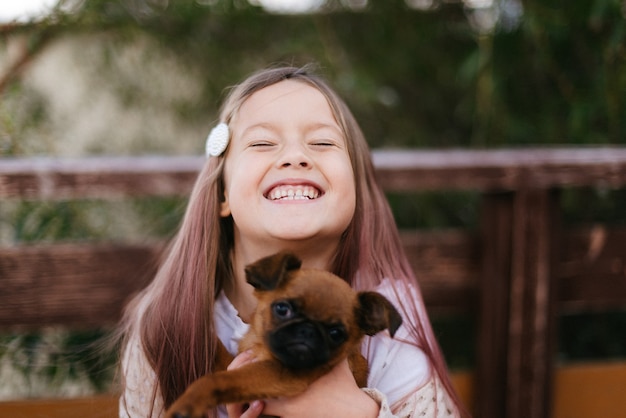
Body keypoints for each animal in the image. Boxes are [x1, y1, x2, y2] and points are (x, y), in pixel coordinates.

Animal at [165, 251, 400, 418]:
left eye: (336, 333)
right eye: (282, 309)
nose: (308, 330)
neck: (261, 345)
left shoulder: (281, 375)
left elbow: (220, 379)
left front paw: (190, 402)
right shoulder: (237, 362)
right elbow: (219, 354)